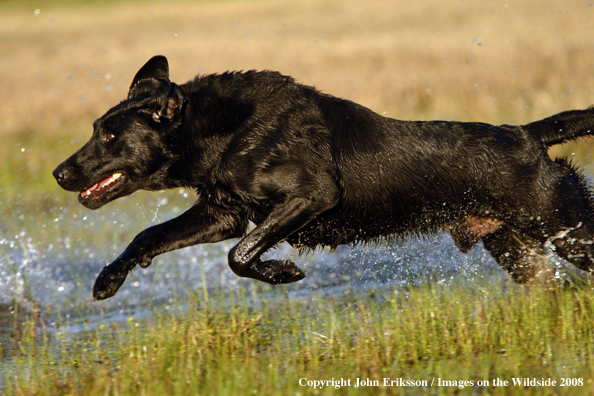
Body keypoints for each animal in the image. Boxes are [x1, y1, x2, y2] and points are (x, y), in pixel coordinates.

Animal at [54, 54, 594, 298]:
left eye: (110, 137)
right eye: (96, 129)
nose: (59, 172)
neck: (222, 131)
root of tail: (528, 134)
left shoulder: (313, 196)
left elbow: (239, 255)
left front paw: (280, 272)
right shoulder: (222, 213)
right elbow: (149, 236)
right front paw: (108, 279)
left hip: (565, 227)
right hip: (516, 248)